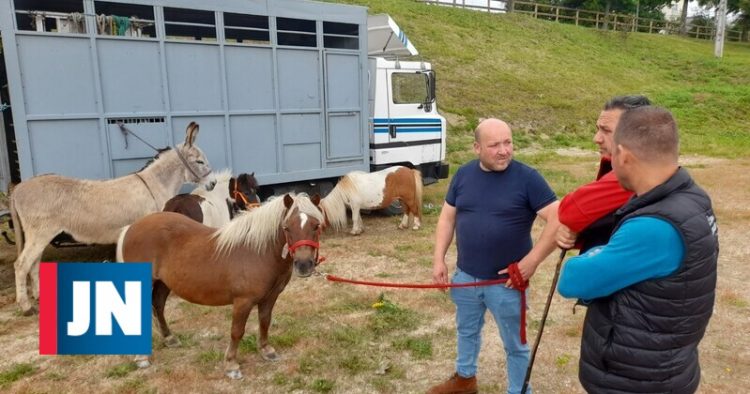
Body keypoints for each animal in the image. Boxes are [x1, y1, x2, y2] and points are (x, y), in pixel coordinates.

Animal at [9, 122, 212, 314]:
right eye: (200, 161)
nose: (213, 183)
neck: (156, 184)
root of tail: (17, 188)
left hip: (40, 235)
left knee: (33, 265)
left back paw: (38, 297)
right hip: (40, 233)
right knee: (21, 265)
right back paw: (26, 307)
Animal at [119, 193, 324, 378]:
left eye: (316, 226)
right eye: (287, 227)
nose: (304, 265)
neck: (257, 251)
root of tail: (131, 228)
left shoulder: (270, 297)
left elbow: (265, 322)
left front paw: (266, 351)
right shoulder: (243, 302)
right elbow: (237, 332)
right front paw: (231, 365)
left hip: (164, 282)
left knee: (158, 305)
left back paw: (170, 339)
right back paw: (141, 358)